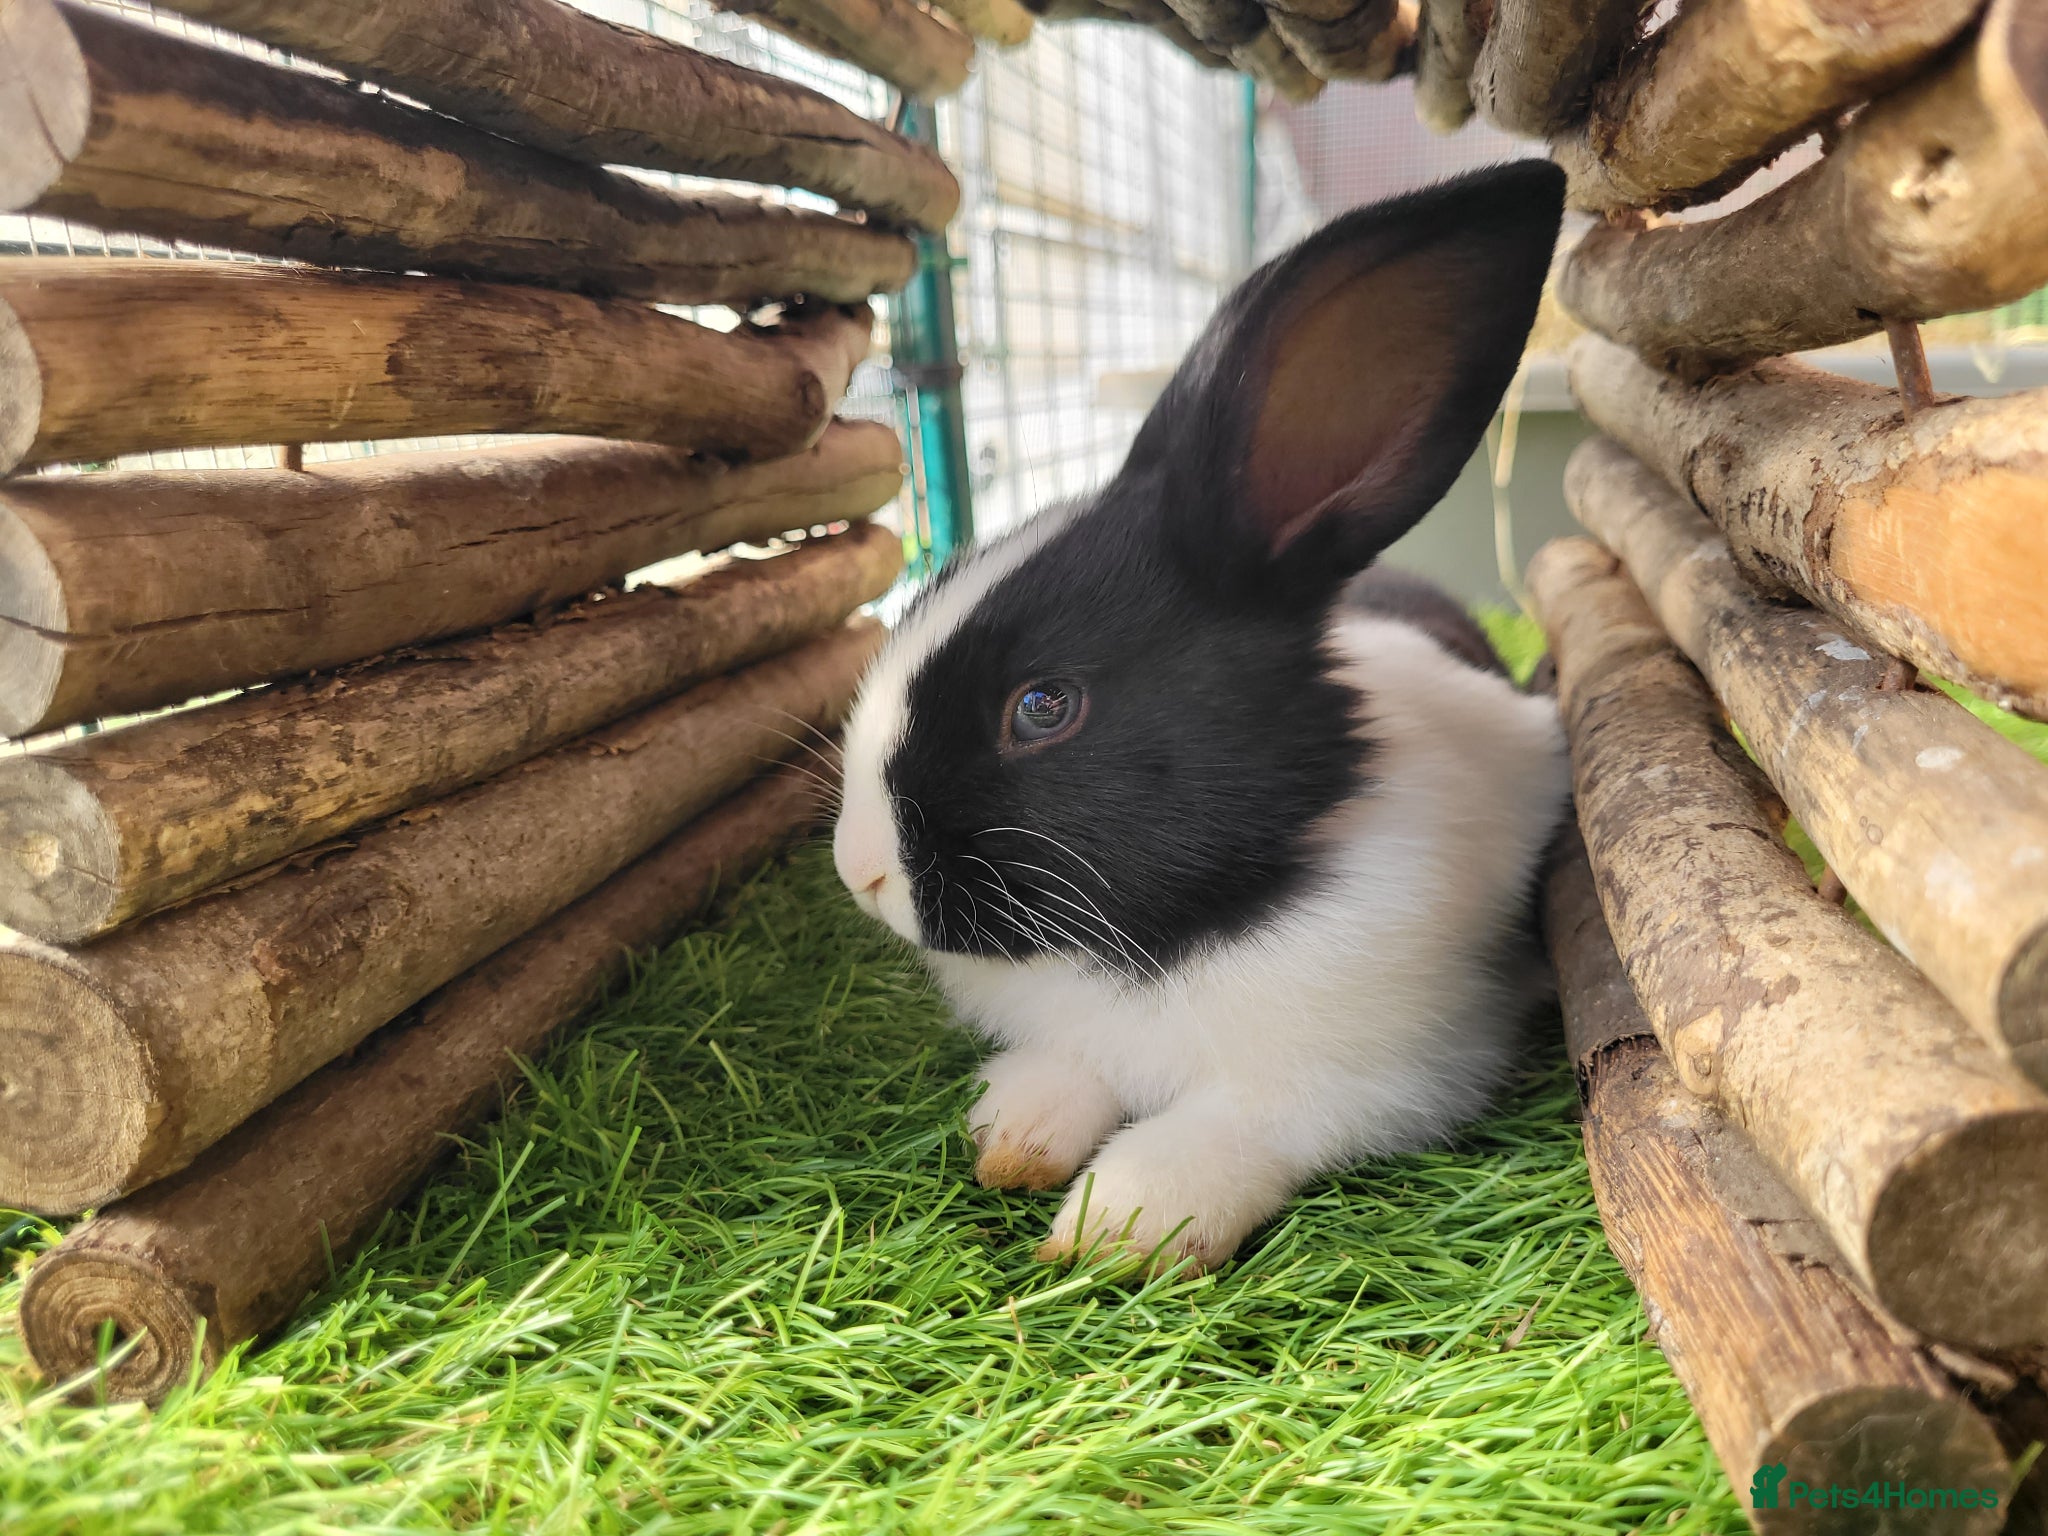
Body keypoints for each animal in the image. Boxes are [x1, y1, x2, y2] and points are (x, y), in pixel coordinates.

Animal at [832, 161, 1574, 1273]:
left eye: (1042, 707)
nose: (858, 871)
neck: (1170, 935)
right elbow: (1064, 1072)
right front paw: (1012, 1137)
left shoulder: (1381, 1075)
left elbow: (1223, 1135)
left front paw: (1110, 1228)